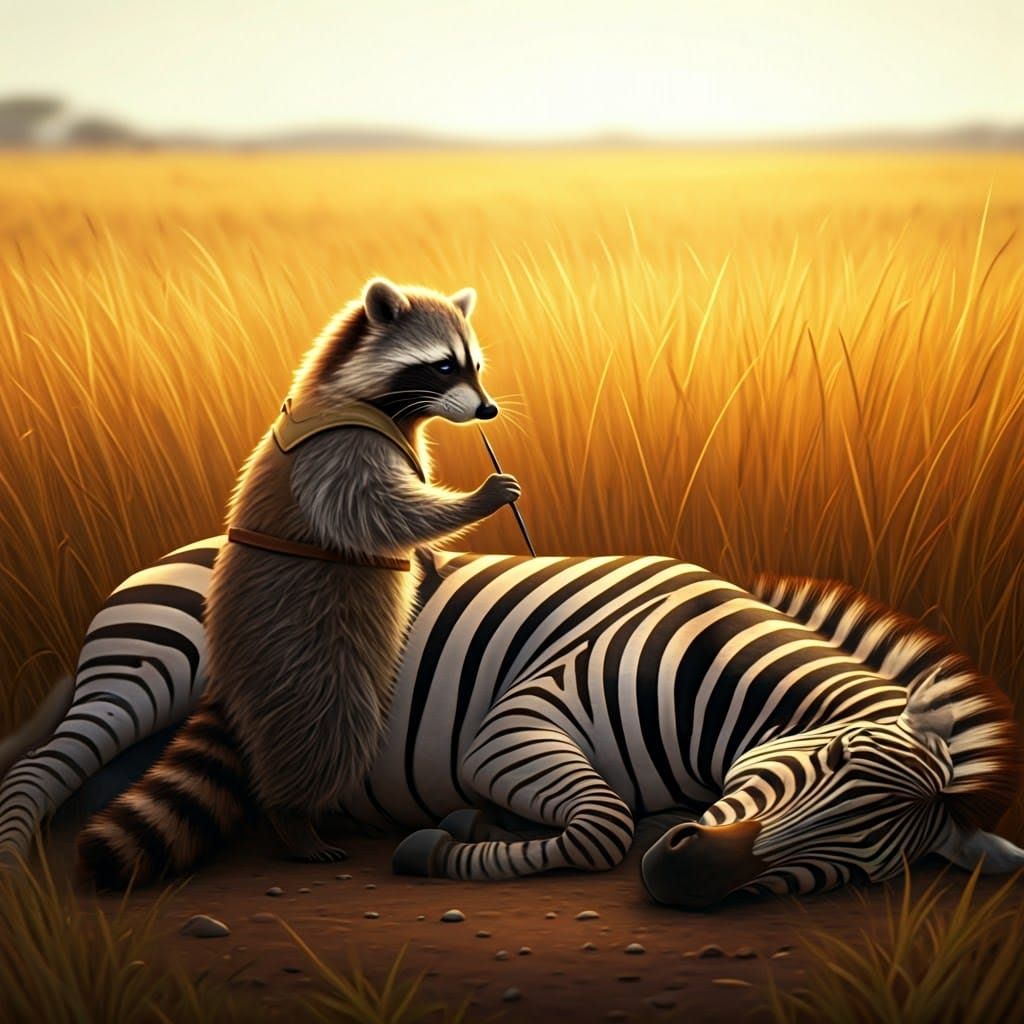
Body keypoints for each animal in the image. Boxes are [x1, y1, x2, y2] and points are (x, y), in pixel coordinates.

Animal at [0, 537, 1020, 905]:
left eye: (852, 874)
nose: (681, 878)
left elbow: (606, 820)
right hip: (150, 666)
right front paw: (437, 846)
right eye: (836, 754)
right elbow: (601, 828)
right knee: (37, 770)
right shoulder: (517, 723)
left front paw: (475, 826)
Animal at [77, 278, 519, 887]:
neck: (373, 398)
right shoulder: (338, 452)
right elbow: (377, 512)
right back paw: (293, 820)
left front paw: (429, 551)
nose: (488, 409)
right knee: (325, 728)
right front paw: (472, 502)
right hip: (300, 647)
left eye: (474, 365)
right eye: (443, 366)